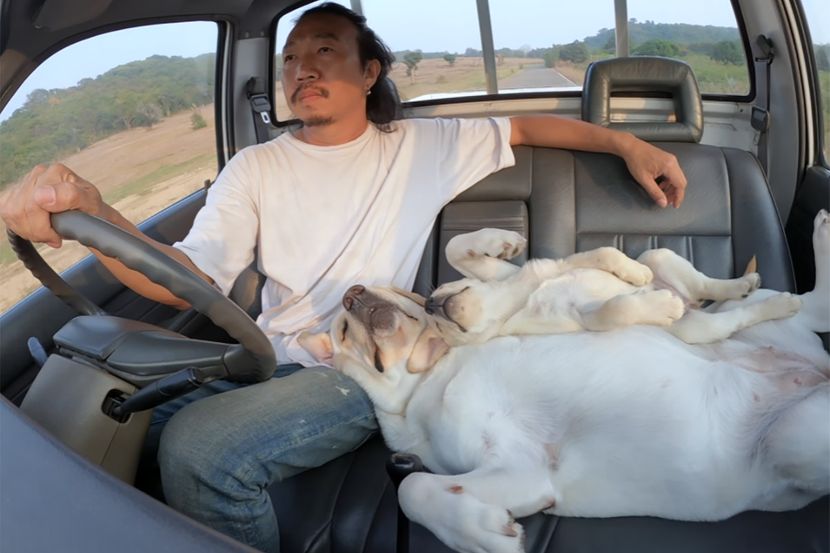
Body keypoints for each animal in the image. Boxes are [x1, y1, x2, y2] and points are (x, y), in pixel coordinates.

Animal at [427, 228, 801, 347]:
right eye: (447, 332)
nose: (430, 306)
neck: (509, 300)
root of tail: (692, 305)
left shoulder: (562, 263)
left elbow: (454, 246)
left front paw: (504, 242)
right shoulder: (583, 318)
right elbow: (617, 307)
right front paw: (659, 304)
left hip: (657, 254)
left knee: (706, 284)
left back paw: (745, 283)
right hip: (694, 328)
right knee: (735, 318)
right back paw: (781, 304)